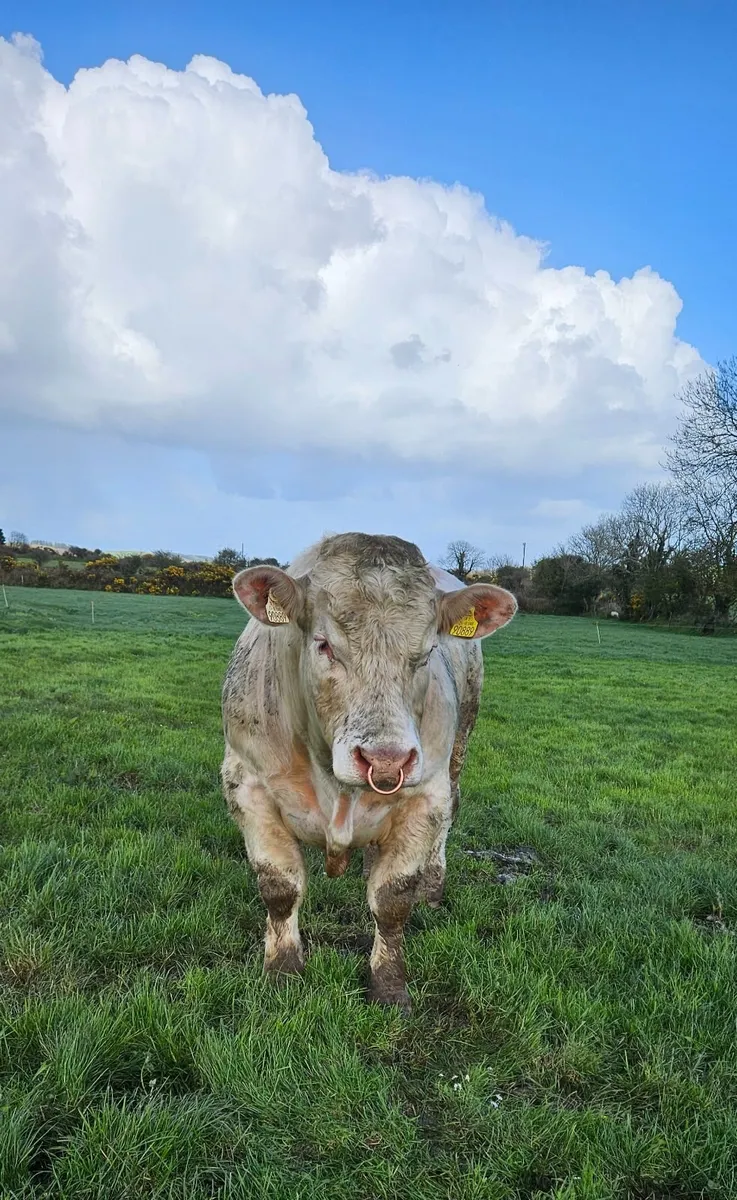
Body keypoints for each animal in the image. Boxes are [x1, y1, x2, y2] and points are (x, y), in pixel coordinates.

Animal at [221, 533, 517, 1011]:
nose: (386, 759)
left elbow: (392, 900)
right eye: (324, 644)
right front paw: (282, 972)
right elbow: (280, 889)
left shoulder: (425, 797)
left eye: (427, 653)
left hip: (459, 746)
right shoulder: (247, 785)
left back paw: (431, 886)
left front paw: (389, 986)